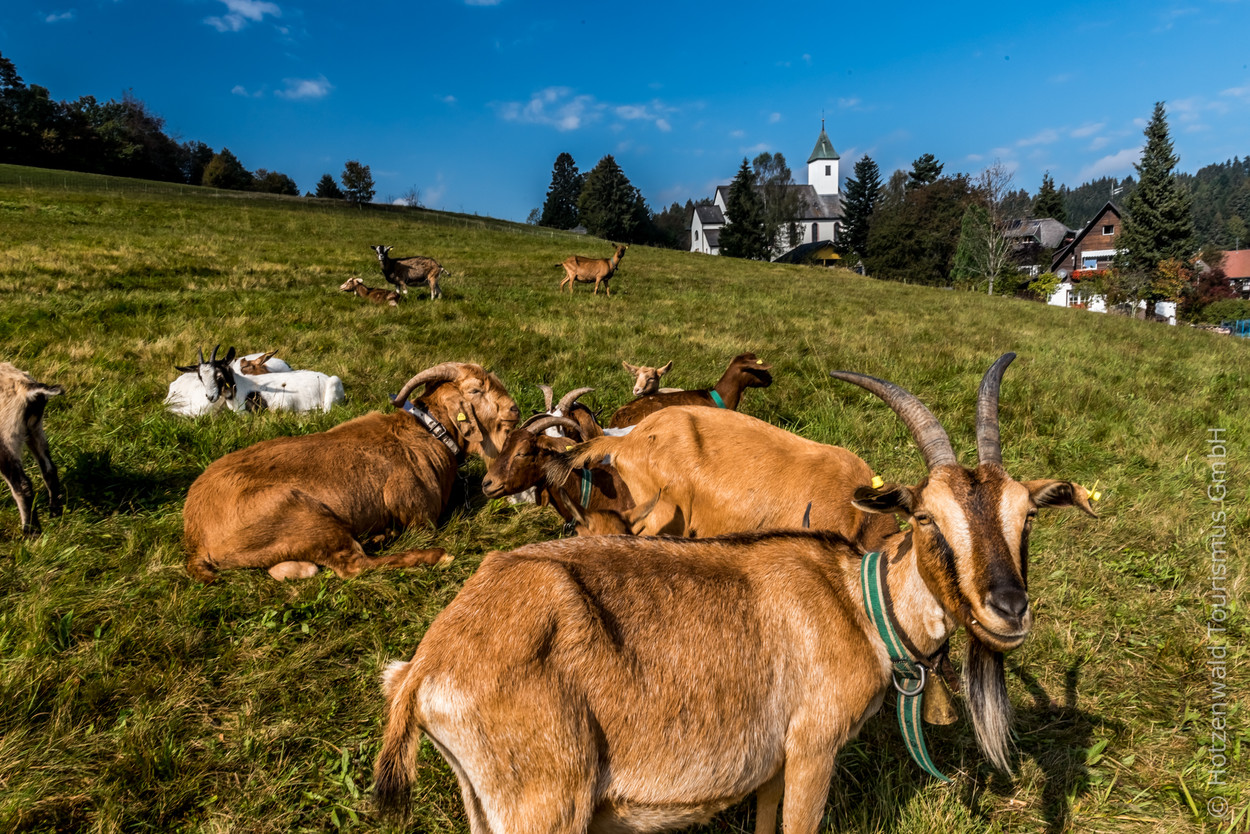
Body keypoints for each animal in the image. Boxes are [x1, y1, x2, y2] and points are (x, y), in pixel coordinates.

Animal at [0, 363, 63, 538]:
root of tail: (29, 388)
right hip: (35, 429)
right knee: (49, 469)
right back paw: (55, 512)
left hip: (6, 436)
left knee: (22, 485)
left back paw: (30, 531)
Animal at [182, 361, 519, 582]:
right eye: (476, 390)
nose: (514, 409)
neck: (428, 433)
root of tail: (195, 537)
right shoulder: (420, 516)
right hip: (303, 516)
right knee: (353, 566)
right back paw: (434, 555)